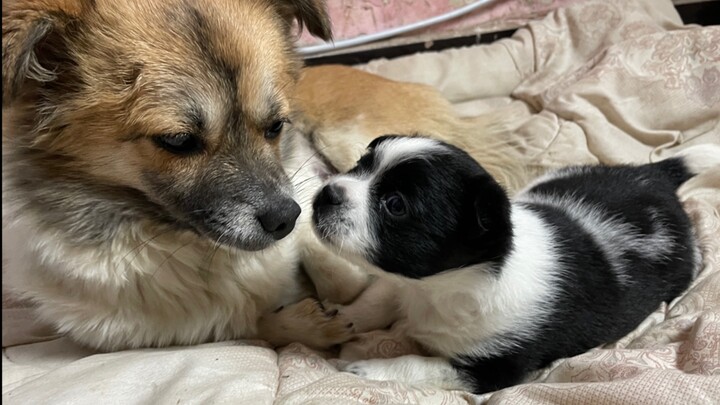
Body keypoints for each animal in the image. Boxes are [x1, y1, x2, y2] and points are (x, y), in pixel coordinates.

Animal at [1, 0, 528, 350]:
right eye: (177, 141)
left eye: (277, 126)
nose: (286, 219)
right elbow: (254, 324)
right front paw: (313, 324)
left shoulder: (307, 187)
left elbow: (336, 275)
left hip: (348, 137)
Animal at [312, 135, 700, 392]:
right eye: (360, 166)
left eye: (394, 204)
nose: (327, 193)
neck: (436, 289)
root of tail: (656, 176)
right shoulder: (403, 283)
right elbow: (377, 298)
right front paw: (342, 320)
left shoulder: (495, 369)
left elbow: (420, 365)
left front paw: (367, 369)